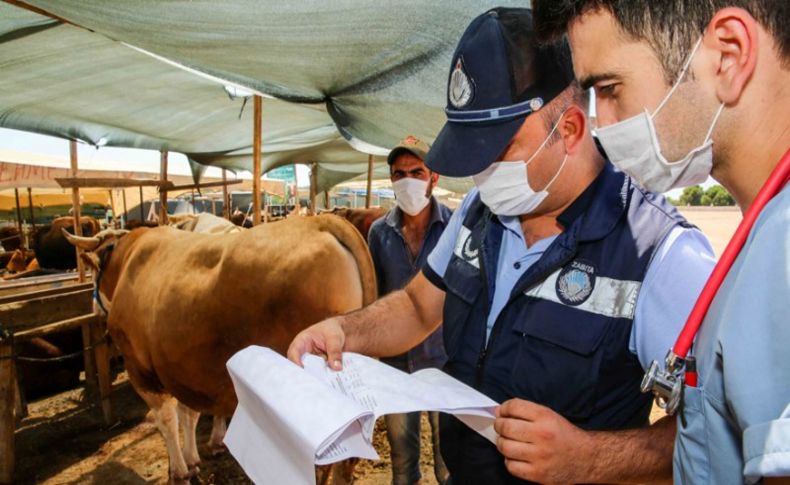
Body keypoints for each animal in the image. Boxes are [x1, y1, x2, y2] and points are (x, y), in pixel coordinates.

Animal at [65, 215, 378, 480]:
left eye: (92, 272)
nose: (93, 308)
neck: (128, 262)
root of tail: (320, 221)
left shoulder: (141, 369)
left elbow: (166, 421)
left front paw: (179, 470)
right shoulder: (182, 366)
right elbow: (188, 413)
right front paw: (192, 460)